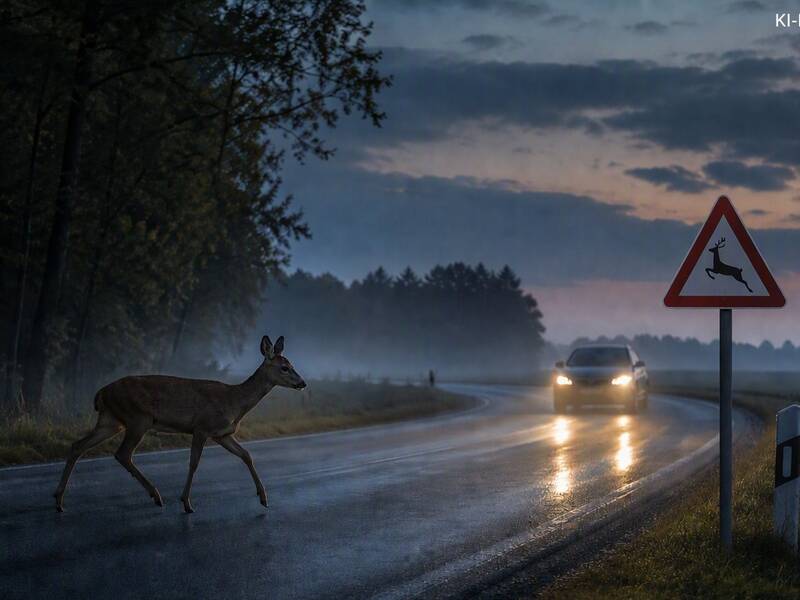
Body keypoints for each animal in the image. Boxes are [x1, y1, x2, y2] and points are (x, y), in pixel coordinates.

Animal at [54, 335, 305, 513]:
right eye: (284, 367)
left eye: (291, 364)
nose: (302, 383)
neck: (234, 402)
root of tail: (101, 393)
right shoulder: (202, 427)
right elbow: (194, 463)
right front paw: (186, 503)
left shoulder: (222, 433)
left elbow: (246, 455)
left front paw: (263, 498)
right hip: (138, 418)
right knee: (122, 453)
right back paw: (156, 496)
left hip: (111, 421)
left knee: (78, 446)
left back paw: (59, 501)